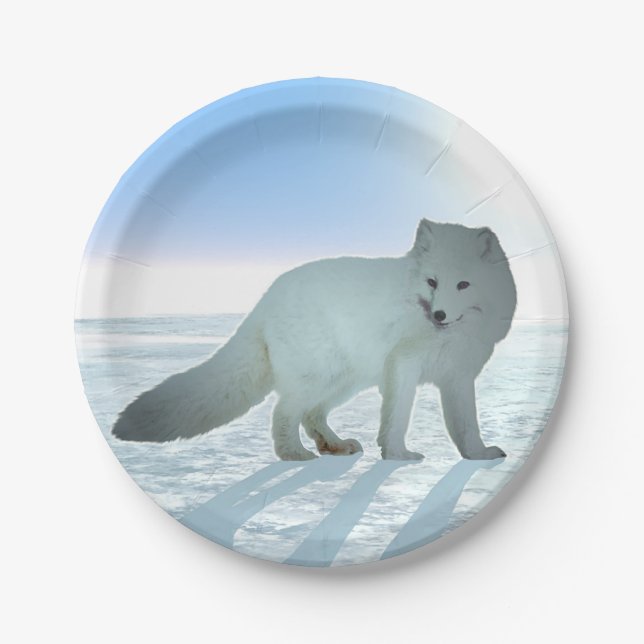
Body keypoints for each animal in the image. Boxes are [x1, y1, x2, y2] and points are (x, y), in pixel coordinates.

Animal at [112, 219, 517, 461]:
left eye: (463, 284)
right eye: (432, 282)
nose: (439, 315)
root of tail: (266, 296)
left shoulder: (459, 376)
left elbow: (466, 423)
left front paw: (478, 455)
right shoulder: (403, 364)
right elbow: (398, 416)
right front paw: (398, 455)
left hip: (345, 381)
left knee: (311, 414)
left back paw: (334, 446)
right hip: (319, 377)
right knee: (283, 412)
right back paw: (295, 454)